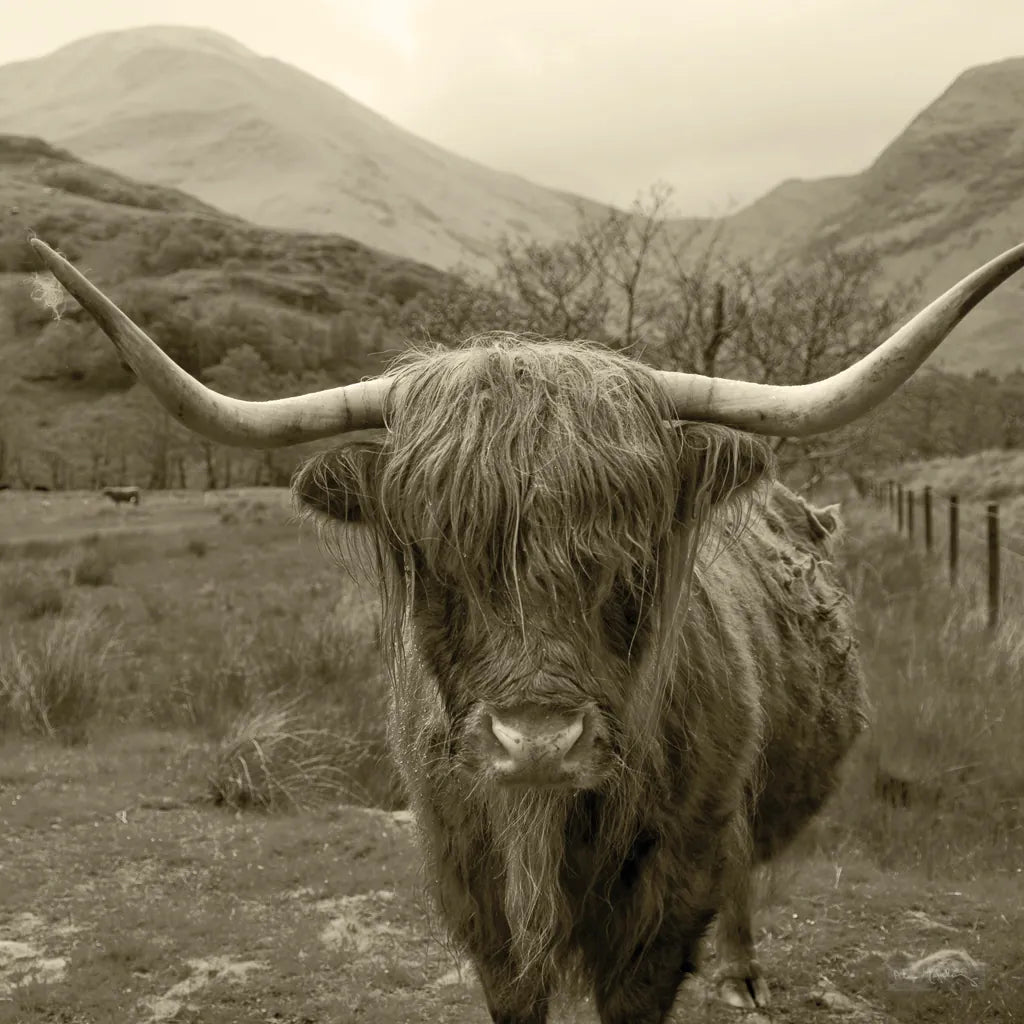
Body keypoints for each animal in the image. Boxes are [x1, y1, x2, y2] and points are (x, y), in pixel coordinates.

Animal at [28, 236, 1024, 1024]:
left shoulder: (665, 900)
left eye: (633, 553)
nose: (537, 740)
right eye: (433, 553)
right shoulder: (472, 889)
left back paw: (744, 976)